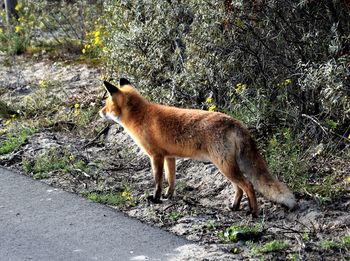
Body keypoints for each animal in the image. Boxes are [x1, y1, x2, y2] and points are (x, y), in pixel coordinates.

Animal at [100, 78, 296, 216]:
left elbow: (158, 181)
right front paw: (168, 196)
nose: (100, 112)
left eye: (106, 105)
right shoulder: (169, 157)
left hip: (224, 166)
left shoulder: (156, 156)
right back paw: (234, 207)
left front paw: (156, 199)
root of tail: (236, 122)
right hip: (226, 166)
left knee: (248, 184)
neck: (141, 116)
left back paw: (253, 212)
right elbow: (171, 179)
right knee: (239, 188)